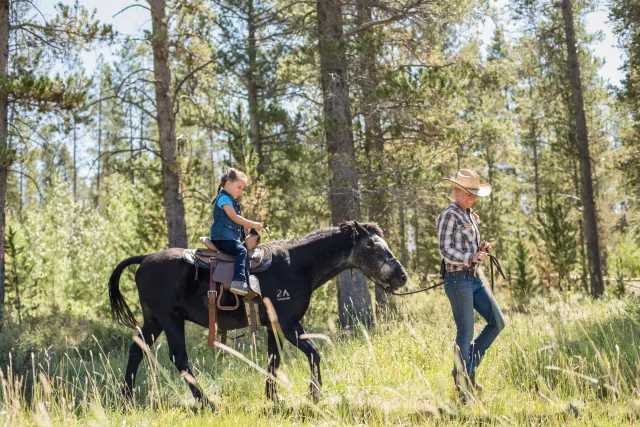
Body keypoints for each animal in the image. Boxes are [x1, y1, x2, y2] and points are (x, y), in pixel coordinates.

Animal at [107, 221, 408, 408]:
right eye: (373, 247)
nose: (402, 276)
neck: (297, 265)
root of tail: (145, 259)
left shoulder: (275, 325)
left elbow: (273, 360)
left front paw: (273, 398)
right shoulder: (288, 324)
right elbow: (313, 353)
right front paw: (313, 395)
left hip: (154, 319)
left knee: (137, 349)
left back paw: (126, 398)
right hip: (170, 318)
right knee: (178, 358)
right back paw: (206, 402)